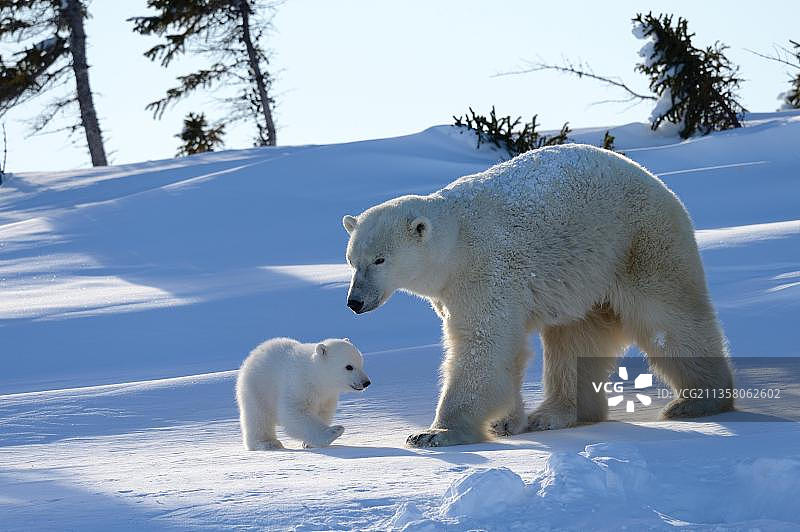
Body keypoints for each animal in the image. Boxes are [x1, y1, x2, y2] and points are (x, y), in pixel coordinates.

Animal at [236, 337, 371, 450]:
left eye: (361, 363)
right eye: (349, 367)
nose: (366, 382)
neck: (314, 376)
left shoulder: (327, 396)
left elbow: (323, 412)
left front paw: (309, 443)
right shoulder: (298, 384)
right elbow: (294, 412)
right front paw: (334, 431)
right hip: (258, 387)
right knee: (258, 417)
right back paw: (268, 443)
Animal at [341, 144, 734, 448]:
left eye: (379, 259)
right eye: (351, 260)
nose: (355, 303)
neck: (456, 241)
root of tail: (658, 183)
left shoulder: (485, 271)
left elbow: (483, 345)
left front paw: (435, 434)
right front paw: (506, 422)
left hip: (639, 245)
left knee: (668, 317)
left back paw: (698, 402)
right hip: (585, 281)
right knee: (575, 341)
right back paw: (552, 414)